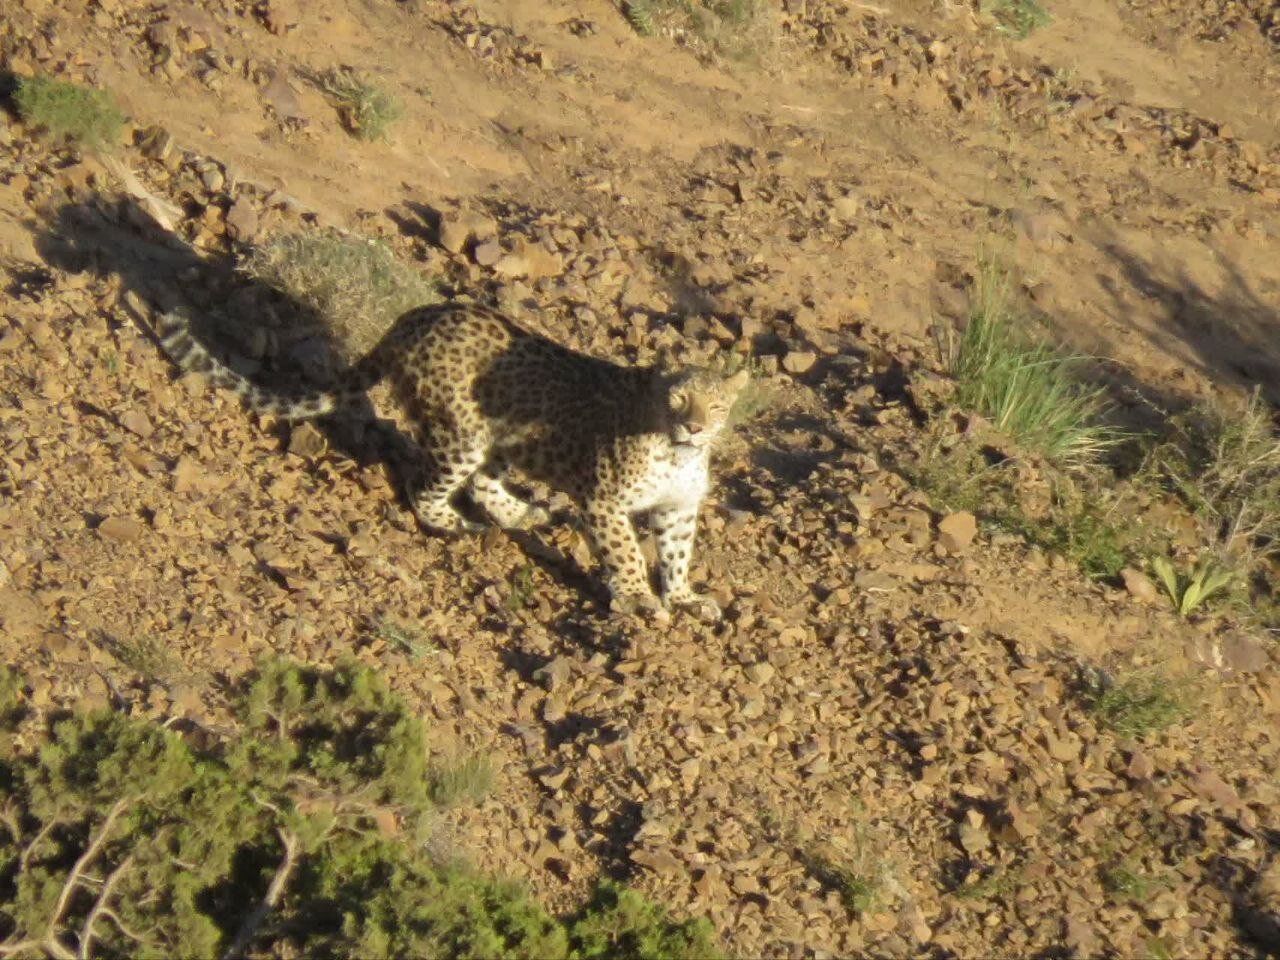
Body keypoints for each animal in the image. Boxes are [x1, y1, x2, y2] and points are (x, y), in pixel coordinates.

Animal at [156, 302, 747, 624]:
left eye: (716, 406)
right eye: (677, 399)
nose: (695, 426)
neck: (677, 453)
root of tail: (414, 318)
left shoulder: (677, 509)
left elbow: (676, 554)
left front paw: (684, 596)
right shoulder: (603, 501)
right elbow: (624, 551)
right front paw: (639, 598)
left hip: (495, 437)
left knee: (483, 483)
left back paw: (524, 513)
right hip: (459, 430)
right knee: (426, 485)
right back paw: (453, 524)